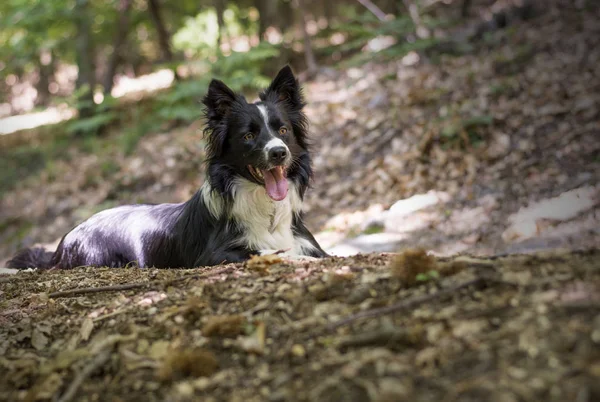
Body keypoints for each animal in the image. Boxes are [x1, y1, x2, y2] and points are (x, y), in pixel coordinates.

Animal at [7, 66, 328, 270]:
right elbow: (271, 253)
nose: (278, 153)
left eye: (283, 130)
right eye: (248, 136)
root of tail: (65, 239)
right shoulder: (214, 255)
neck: (266, 209)